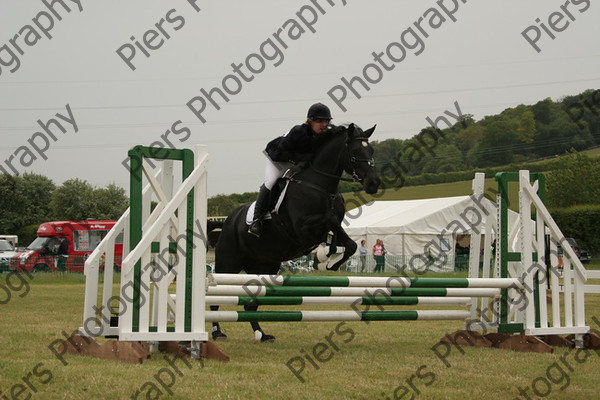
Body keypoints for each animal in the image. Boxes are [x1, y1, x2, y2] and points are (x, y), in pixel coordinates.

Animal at [211, 122, 380, 340]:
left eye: (371, 150)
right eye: (356, 151)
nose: (374, 183)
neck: (320, 186)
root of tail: (228, 221)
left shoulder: (330, 228)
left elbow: (348, 244)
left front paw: (329, 262)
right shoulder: (302, 229)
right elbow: (330, 221)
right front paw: (324, 257)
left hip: (265, 267)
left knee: (251, 306)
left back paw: (261, 334)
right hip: (228, 263)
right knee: (215, 298)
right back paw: (217, 332)